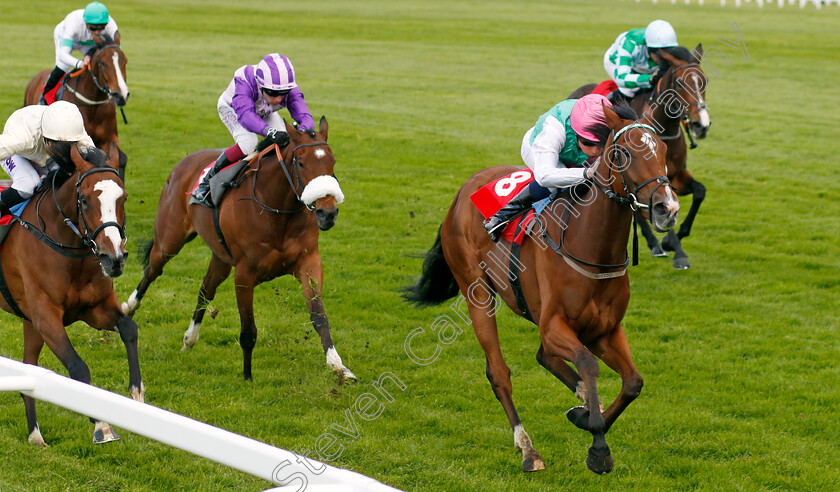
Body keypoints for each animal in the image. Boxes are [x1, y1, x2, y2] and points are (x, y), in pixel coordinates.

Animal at [0, 142, 143, 446]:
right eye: (85, 200)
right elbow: (78, 367)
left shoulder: (94, 308)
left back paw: (35, 435)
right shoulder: (46, 316)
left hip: (29, 323)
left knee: (28, 365)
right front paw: (101, 425)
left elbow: (129, 328)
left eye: (123, 197)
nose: (114, 258)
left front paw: (137, 397)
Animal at [24, 35, 130, 181]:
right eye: (103, 63)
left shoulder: (108, 138)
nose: (121, 95)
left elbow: (121, 159)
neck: (92, 105)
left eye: (125, 61)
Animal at [121, 118, 354, 384]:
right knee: (152, 270)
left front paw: (338, 365)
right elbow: (248, 329)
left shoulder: (308, 262)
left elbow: (319, 316)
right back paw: (129, 307)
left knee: (205, 290)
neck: (276, 209)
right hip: (169, 240)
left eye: (332, 161)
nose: (328, 212)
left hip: (220, 257)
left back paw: (189, 339)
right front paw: (247, 376)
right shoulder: (244, 273)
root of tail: (186, 161)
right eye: (301, 162)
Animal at [404, 105, 680, 474]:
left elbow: (633, 382)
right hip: (476, 292)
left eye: (663, 151)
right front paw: (598, 448)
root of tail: (462, 191)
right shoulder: (554, 326)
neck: (591, 246)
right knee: (499, 373)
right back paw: (528, 450)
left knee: (543, 356)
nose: (668, 208)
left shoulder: (604, 330)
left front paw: (586, 417)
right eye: (622, 154)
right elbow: (588, 364)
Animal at [572, 45, 708, 270]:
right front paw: (675, 249)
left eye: (705, 81)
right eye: (680, 83)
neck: (665, 129)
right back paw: (654, 243)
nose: (701, 125)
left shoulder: (675, 175)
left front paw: (674, 239)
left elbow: (699, 192)